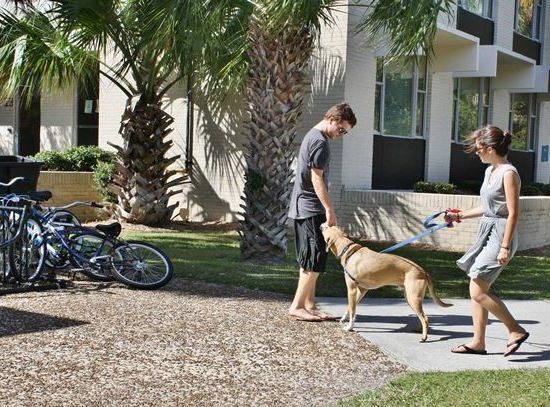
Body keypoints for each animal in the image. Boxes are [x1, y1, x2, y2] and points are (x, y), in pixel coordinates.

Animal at [321, 225, 452, 342]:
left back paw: (424, 337)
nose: (321, 225)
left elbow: (353, 311)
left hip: (413, 298)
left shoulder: (352, 289)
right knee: (422, 316)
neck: (349, 251)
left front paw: (349, 327)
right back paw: (418, 330)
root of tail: (423, 271)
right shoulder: (361, 290)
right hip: (410, 298)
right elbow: (350, 307)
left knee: (425, 318)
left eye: (327, 227)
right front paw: (343, 319)